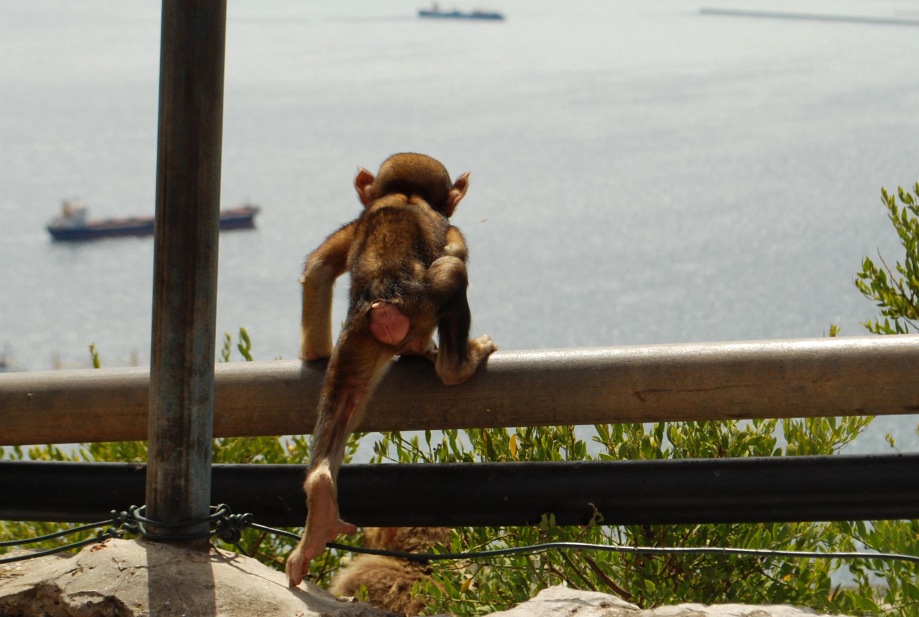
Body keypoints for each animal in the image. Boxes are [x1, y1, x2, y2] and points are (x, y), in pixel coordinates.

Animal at [286, 153, 497, 587]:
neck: (407, 194)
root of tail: (386, 298)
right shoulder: (450, 227)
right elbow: (455, 248)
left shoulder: (353, 226)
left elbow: (318, 268)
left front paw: (313, 354)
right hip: (423, 302)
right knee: (452, 270)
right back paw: (455, 363)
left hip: (356, 337)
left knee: (344, 396)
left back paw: (319, 500)